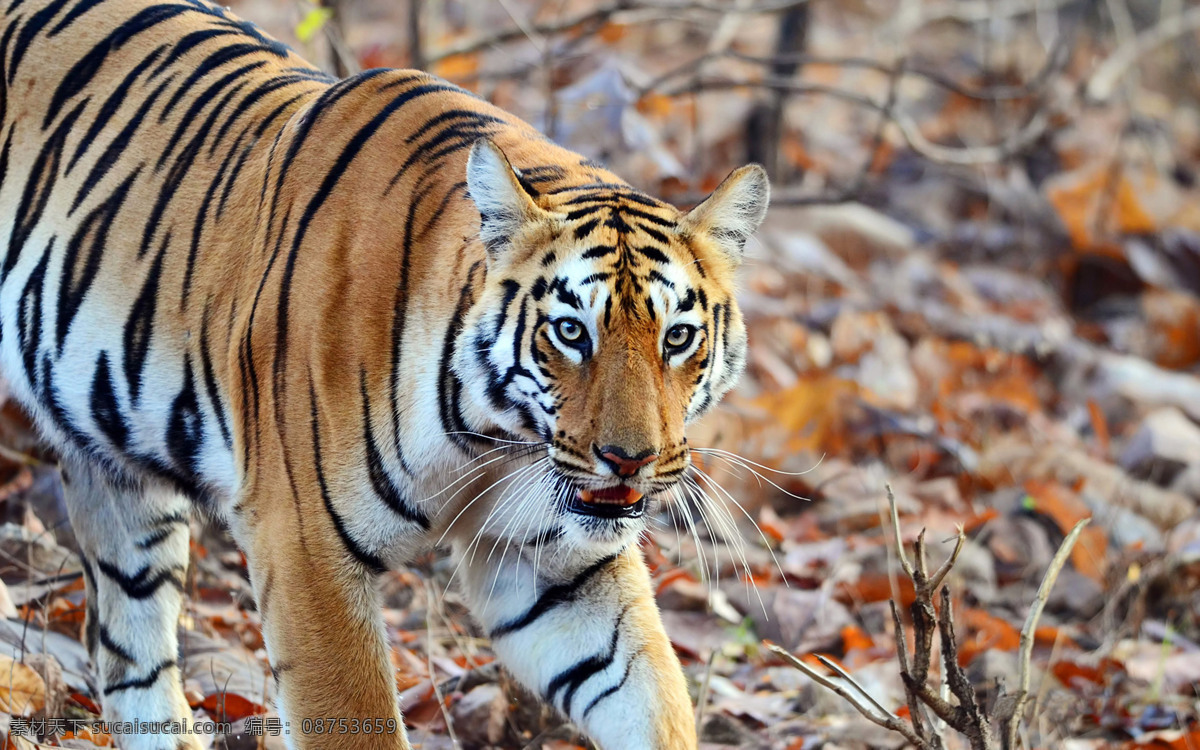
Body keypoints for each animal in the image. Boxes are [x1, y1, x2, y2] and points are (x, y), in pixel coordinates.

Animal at [0, 0, 769, 747]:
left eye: (677, 337)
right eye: (571, 332)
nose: (629, 460)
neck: (491, 437)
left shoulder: (557, 566)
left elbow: (654, 699)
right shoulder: (304, 549)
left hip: (119, 482)